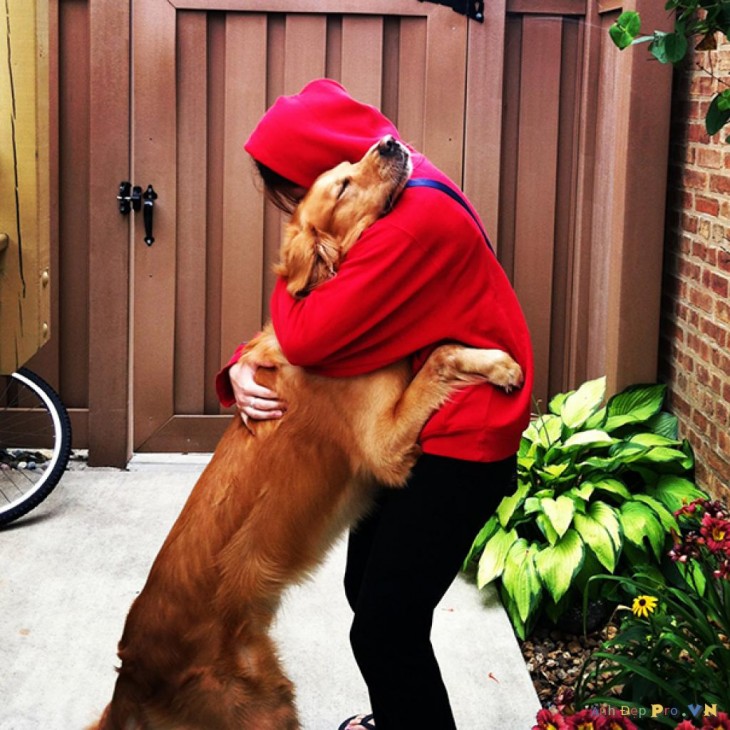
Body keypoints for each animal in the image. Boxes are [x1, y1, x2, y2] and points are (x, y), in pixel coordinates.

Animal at [89, 136, 524, 728]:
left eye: (348, 166)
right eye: (341, 186)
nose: (390, 141)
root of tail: (129, 680)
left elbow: (436, 349)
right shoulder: (383, 447)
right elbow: (440, 353)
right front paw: (500, 364)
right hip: (263, 706)